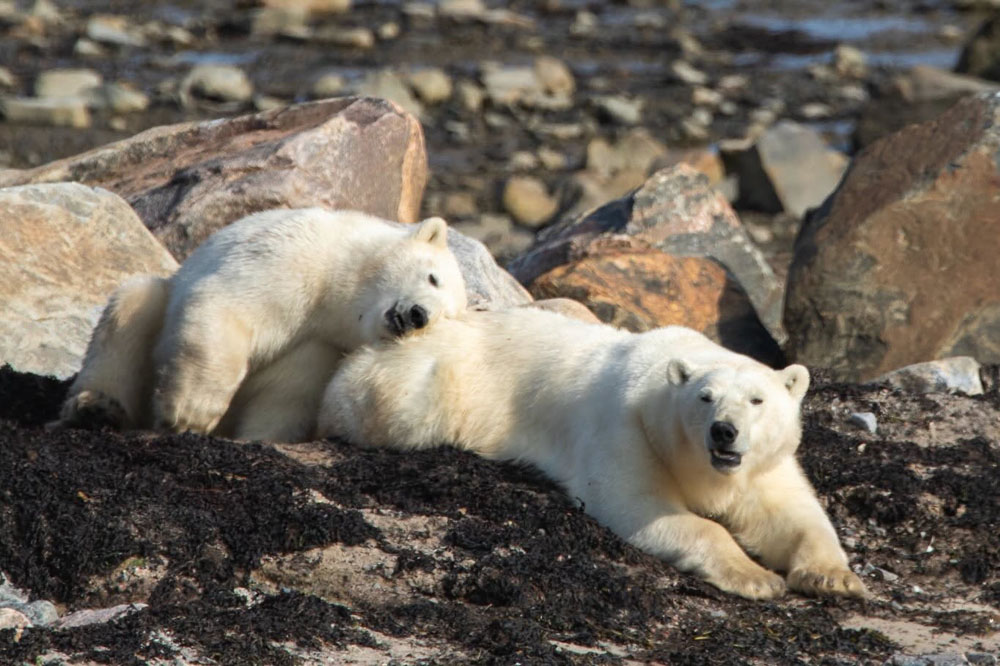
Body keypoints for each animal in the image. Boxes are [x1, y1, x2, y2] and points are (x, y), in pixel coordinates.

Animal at [58, 208, 468, 443]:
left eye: (445, 318)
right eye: (432, 277)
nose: (419, 315)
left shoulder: (322, 347)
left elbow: (288, 394)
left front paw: (254, 440)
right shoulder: (297, 257)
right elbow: (227, 304)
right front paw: (191, 412)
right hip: (157, 302)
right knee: (131, 310)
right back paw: (95, 406)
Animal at [317, 307, 867, 600]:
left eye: (757, 400)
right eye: (705, 397)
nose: (724, 433)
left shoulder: (762, 467)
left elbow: (795, 514)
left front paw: (833, 577)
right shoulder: (628, 429)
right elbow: (641, 504)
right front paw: (756, 578)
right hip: (425, 388)